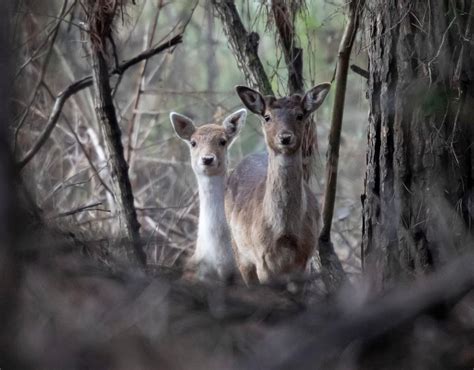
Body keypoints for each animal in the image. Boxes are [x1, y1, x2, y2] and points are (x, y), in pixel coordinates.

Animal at [225, 83, 330, 284]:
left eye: (300, 115)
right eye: (267, 117)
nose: (285, 137)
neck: (285, 234)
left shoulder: (305, 258)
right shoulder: (262, 260)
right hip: (239, 249)